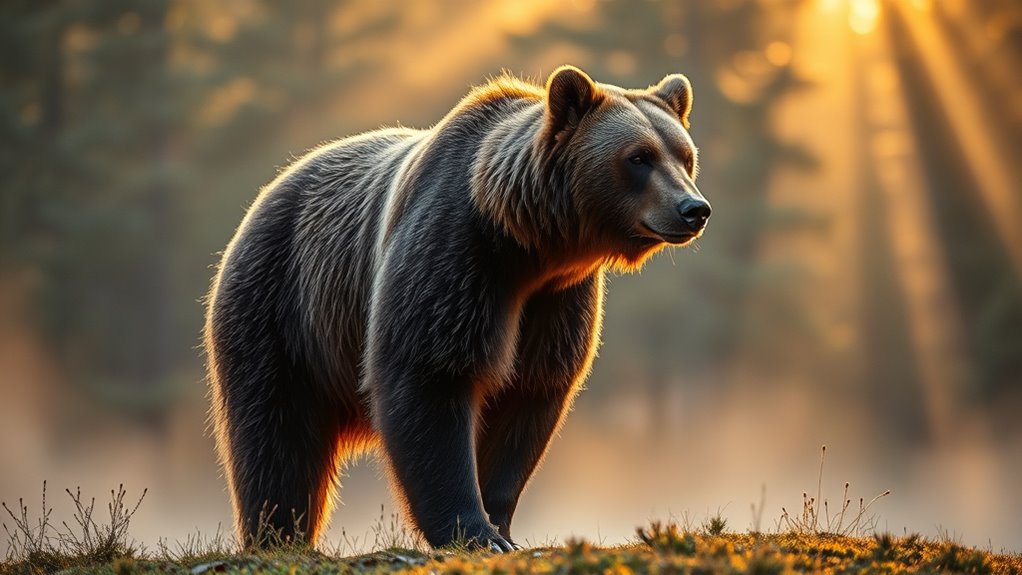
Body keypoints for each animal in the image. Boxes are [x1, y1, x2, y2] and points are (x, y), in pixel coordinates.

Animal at [204, 65, 710, 552]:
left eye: (684, 156)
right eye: (638, 157)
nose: (693, 209)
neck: (528, 249)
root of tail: (270, 189)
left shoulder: (556, 302)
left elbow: (527, 401)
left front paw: (502, 525)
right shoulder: (454, 257)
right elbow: (430, 378)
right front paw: (474, 531)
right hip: (279, 307)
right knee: (275, 433)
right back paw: (278, 534)